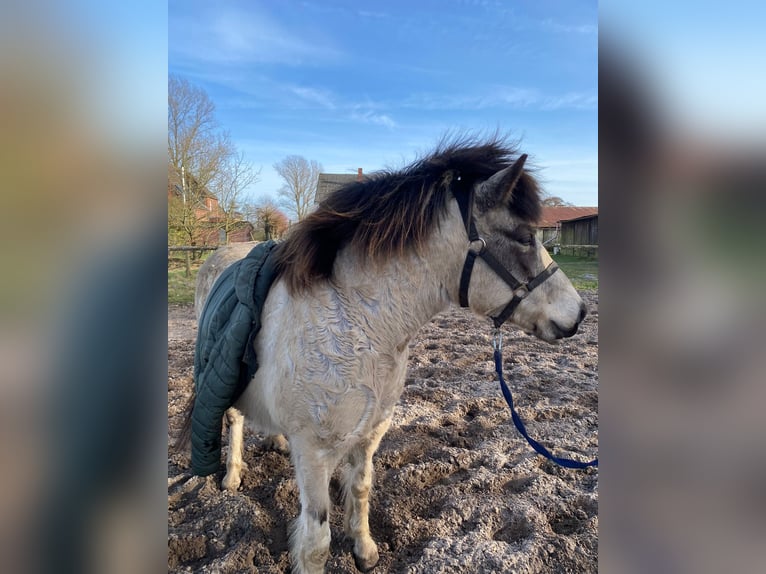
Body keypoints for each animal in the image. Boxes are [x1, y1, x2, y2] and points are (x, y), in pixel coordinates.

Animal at [184, 137, 588, 572]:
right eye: (524, 237)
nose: (580, 312)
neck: (359, 324)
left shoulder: (370, 433)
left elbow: (361, 491)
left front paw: (364, 549)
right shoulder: (314, 454)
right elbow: (316, 542)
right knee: (234, 418)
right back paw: (231, 476)